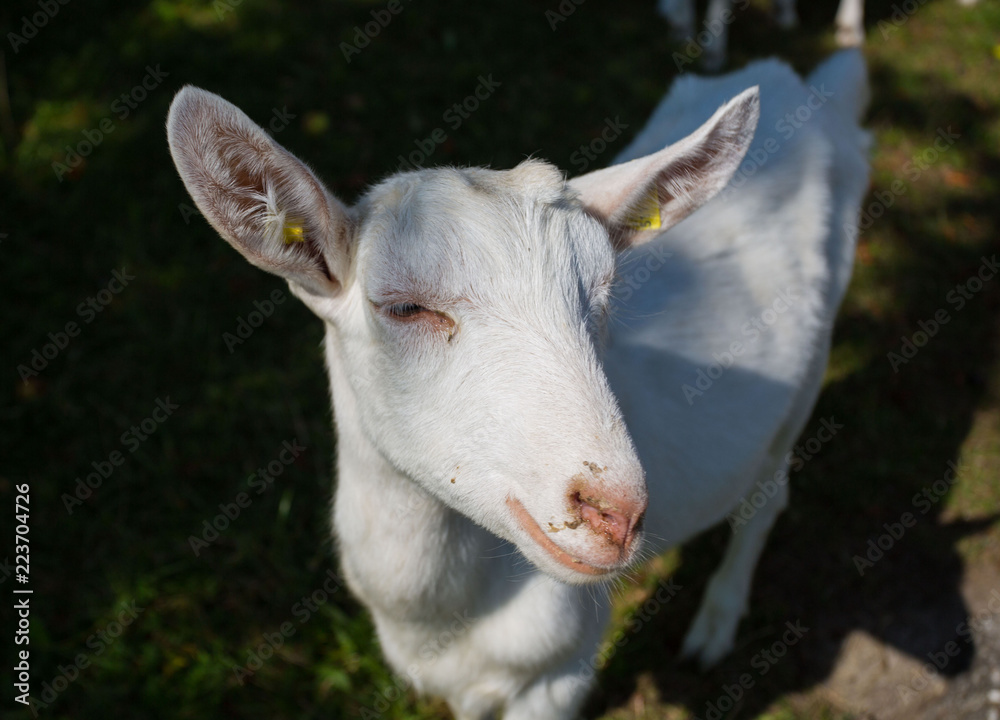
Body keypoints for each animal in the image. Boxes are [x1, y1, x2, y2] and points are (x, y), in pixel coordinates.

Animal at [167, 46, 869, 720]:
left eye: (604, 295)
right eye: (402, 307)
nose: (615, 514)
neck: (448, 616)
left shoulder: (559, 670)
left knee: (767, 497)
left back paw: (714, 627)